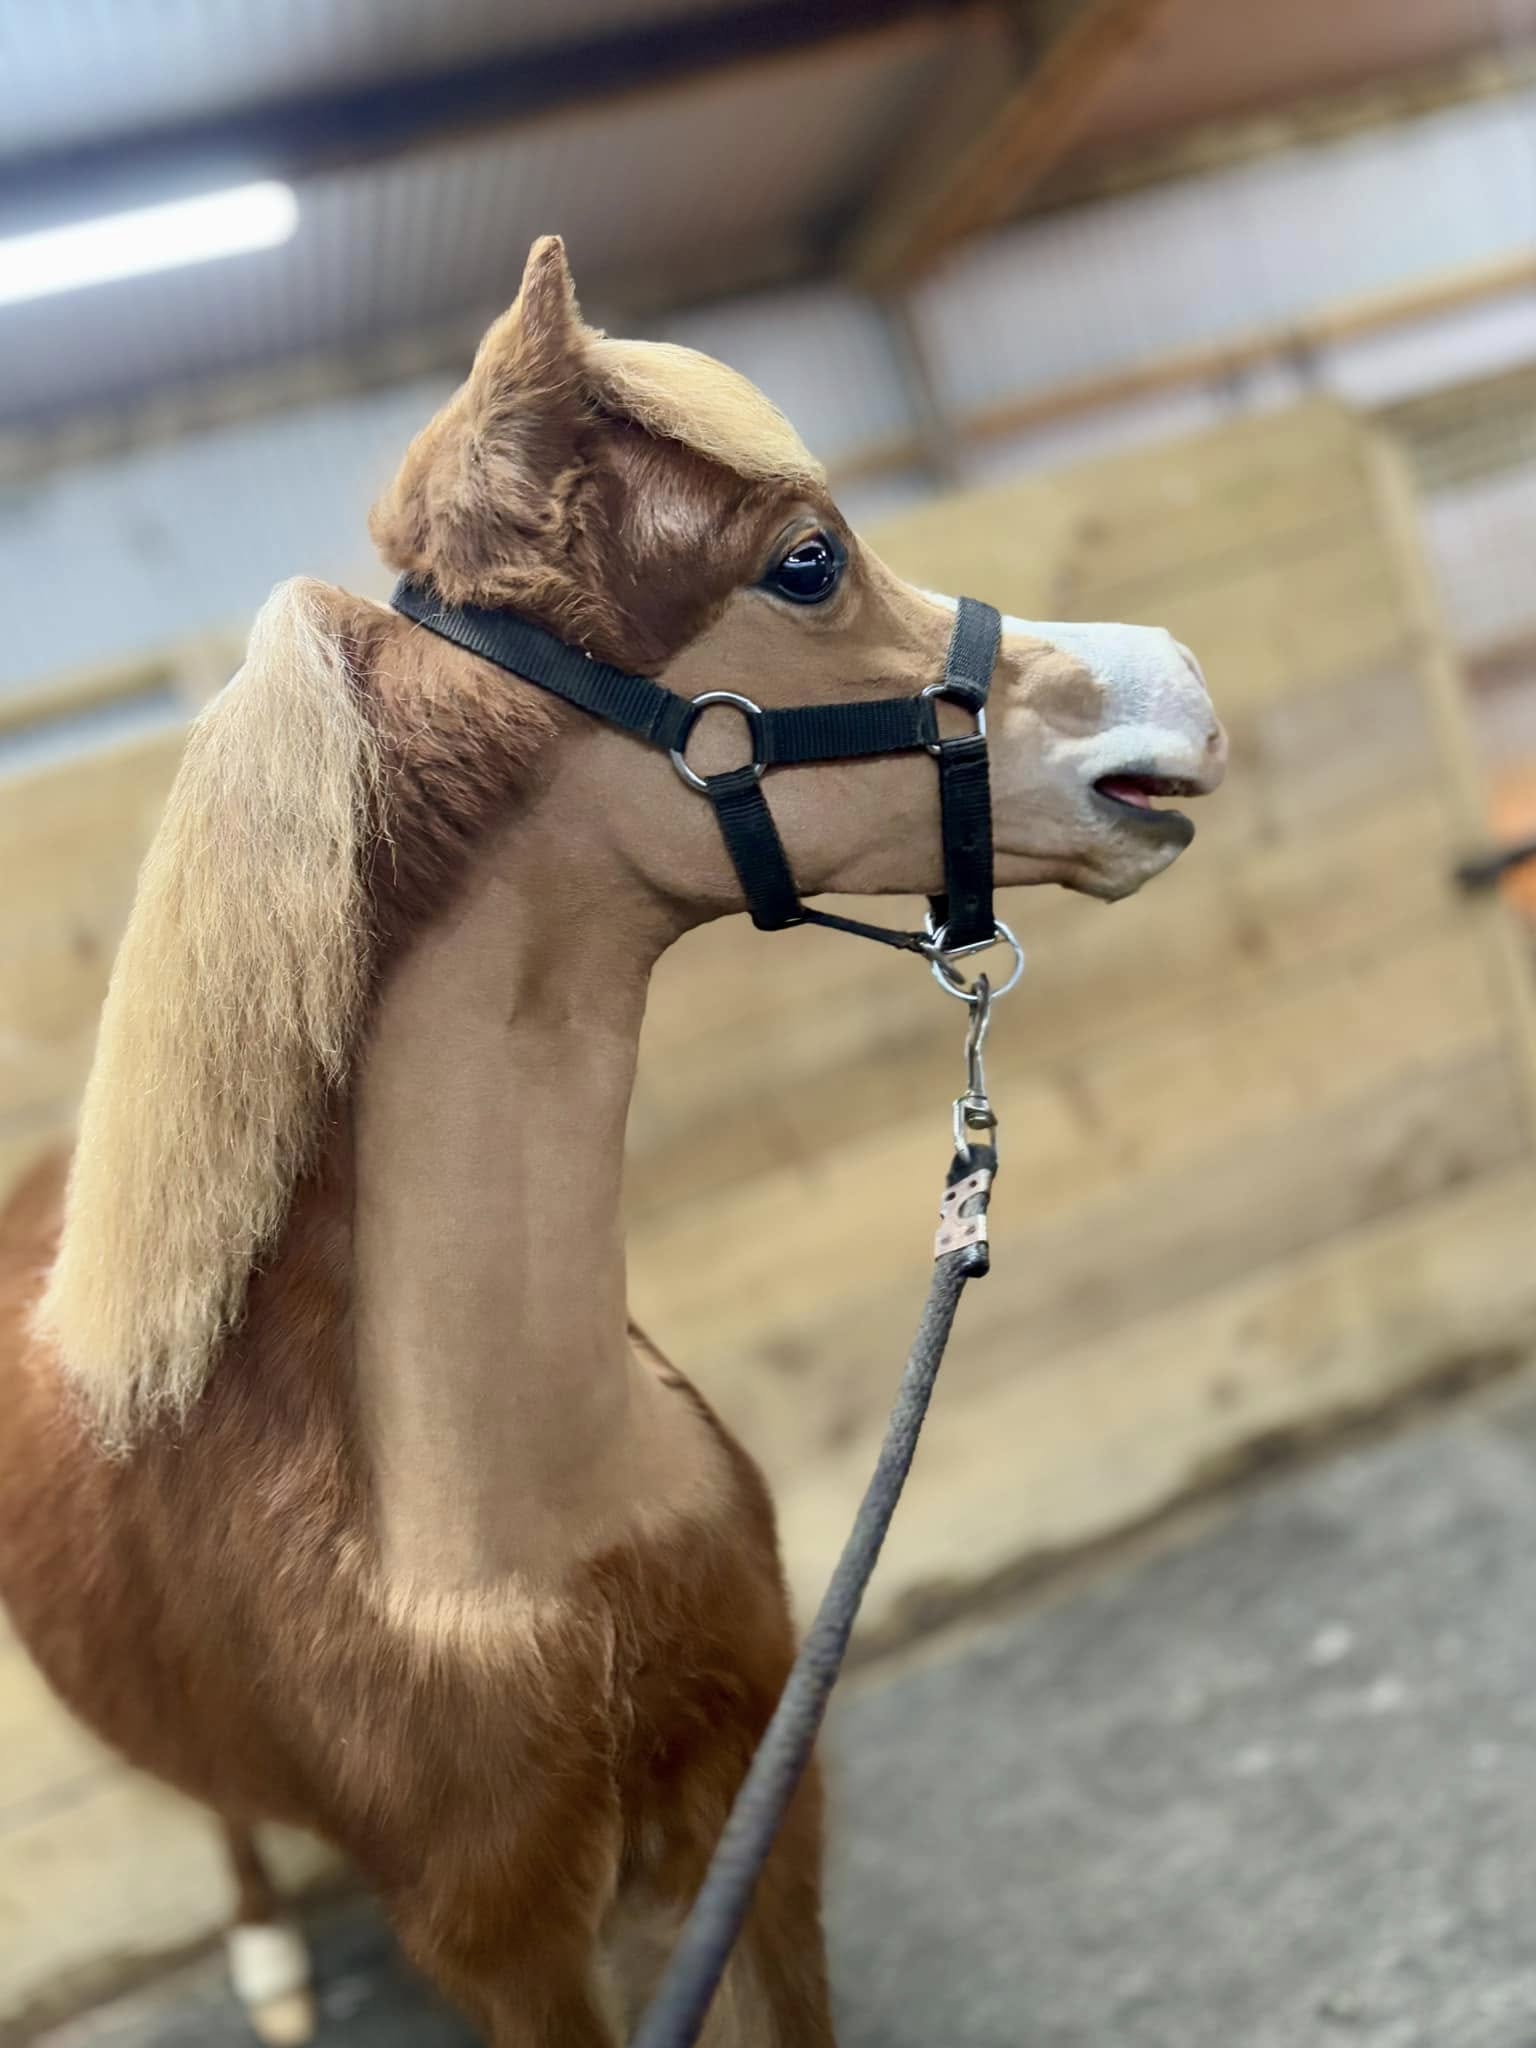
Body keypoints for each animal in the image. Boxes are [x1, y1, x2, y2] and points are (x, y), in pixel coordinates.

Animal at [0, 236, 1225, 2047]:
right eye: (807, 561)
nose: (1176, 689)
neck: (513, 1538)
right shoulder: (505, 1940)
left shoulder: (759, 1813)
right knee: (217, 1814)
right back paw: (273, 1964)